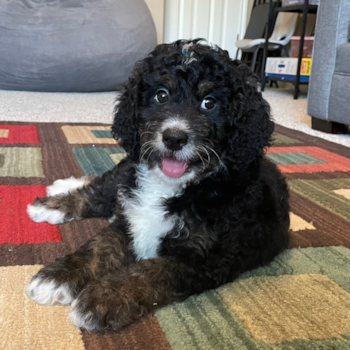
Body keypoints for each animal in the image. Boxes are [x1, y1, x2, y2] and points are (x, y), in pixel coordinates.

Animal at [26, 39, 290, 332]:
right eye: (161, 96)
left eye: (209, 103)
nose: (174, 137)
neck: (178, 186)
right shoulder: (131, 216)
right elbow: (99, 245)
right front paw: (58, 276)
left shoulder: (205, 257)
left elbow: (152, 271)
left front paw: (102, 299)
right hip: (129, 169)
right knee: (102, 188)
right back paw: (55, 201)